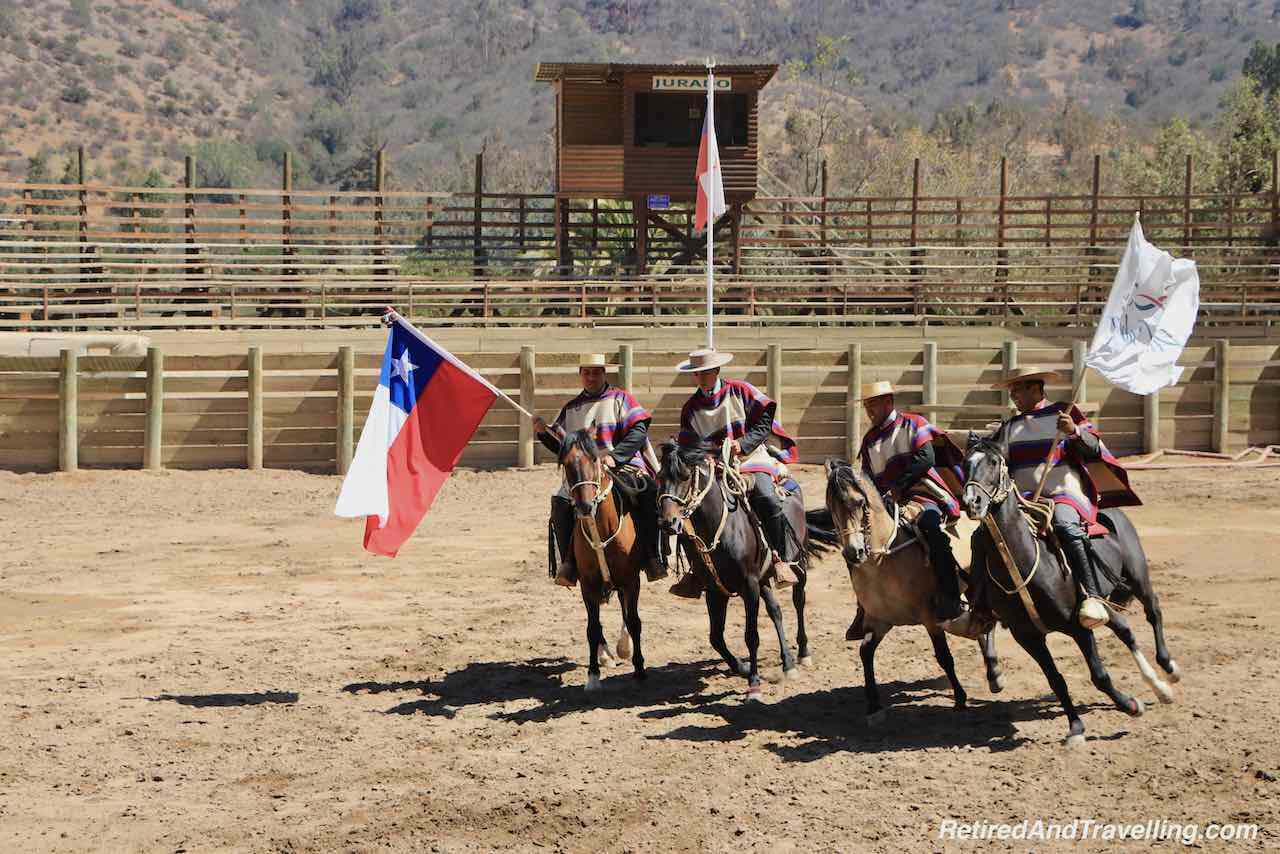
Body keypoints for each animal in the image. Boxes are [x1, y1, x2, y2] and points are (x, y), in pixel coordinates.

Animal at [560, 430, 650, 691]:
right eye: (566, 464)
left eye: (594, 460)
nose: (584, 506)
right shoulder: (588, 584)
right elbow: (592, 628)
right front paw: (592, 675)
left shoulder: (631, 580)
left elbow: (634, 621)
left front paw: (640, 669)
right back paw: (606, 654)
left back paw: (624, 646)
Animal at [660, 440, 839, 701]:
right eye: (659, 477)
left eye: (684, 476)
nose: (668, 523)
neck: (721, 528)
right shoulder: (715, 590)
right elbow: (716, 637)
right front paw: (742, 668)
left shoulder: (750, 585)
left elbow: (751, 635)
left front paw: (754, 683)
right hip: (764, 580)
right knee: (775, 611)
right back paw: (788, 664)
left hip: (798, 564)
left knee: (798, 601)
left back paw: (803, 653)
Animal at [824, 460, 1003, 727]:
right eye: (831, 507)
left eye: (859, 502)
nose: (853, 552)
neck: (883, 561)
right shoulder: (879, 620)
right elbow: (865, 653)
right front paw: (874, 706)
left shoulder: (930, 618)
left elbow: (944, 656)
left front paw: (960, 698)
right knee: (982, 624)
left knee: (986, 622)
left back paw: (994, 674)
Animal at [962, 440, 1177, 747]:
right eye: (965, 462)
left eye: (993, 462)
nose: (972, 502)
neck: (1024, 560)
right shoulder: (1027, 636)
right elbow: (1056, 680)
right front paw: (1076, 727)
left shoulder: (1077, 626)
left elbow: (1099, 675)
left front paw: (1130, 706)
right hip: (1102, 602)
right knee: (1125, 630)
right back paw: (1159, 687)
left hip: (1138, 577)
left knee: (1153, 611)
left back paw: (1168, 670)